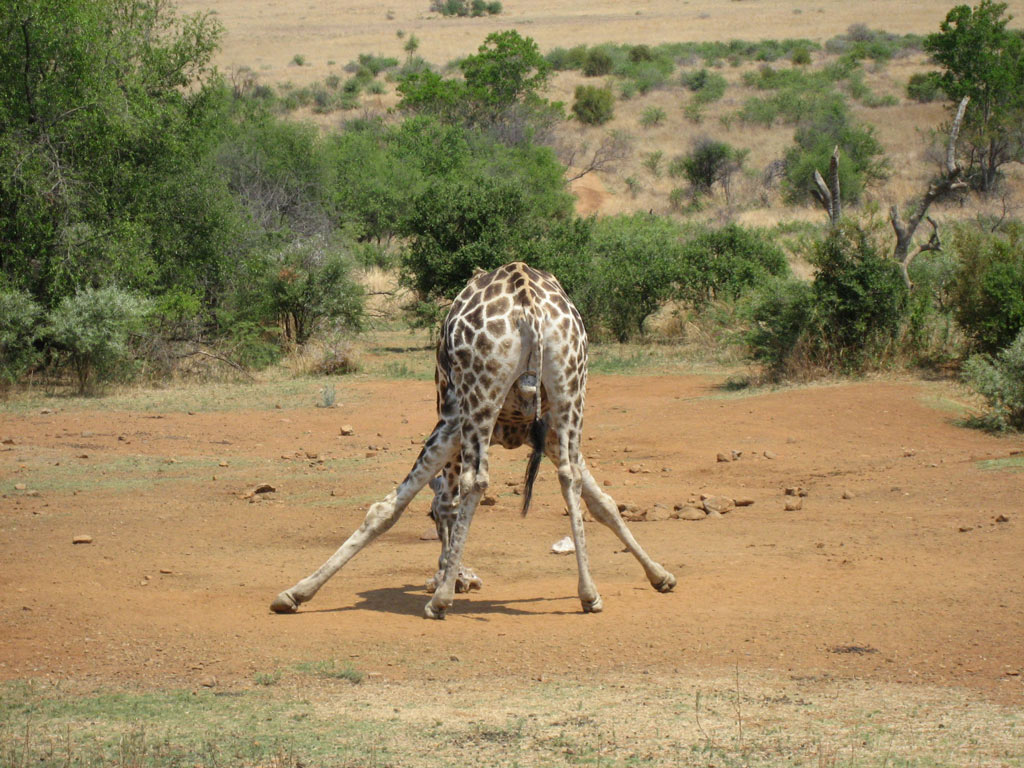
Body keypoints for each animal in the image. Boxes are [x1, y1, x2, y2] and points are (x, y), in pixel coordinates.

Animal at [270, 262, 676, 619]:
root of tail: (528, 301)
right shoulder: (541, 432)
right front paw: (660, 575)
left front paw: (296, 592)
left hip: (480, 397)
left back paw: (439, 601)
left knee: (475, 481)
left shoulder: (450, 420)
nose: (463, 581)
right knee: (568, 477)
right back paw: (588, 594)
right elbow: (600, 501)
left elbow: (397, 506)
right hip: (570, 391)